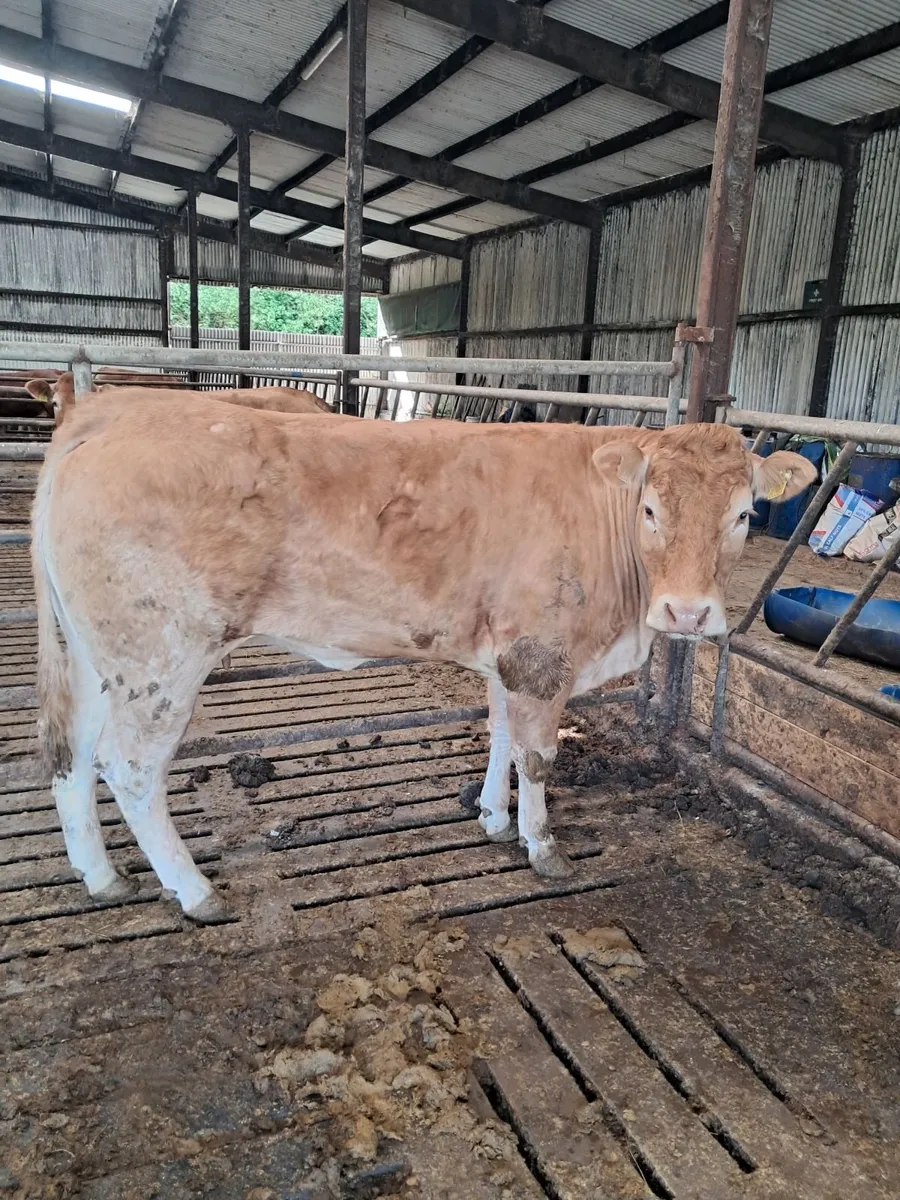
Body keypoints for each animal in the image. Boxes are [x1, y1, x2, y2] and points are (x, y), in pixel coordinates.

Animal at [31, 393, 815, 921]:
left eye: (743, 514)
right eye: (651, 510)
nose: (687, 612)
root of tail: (113, 409)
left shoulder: (508, 652)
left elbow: (498, 733)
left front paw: (492, 817)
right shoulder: (541, 655)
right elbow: (538, 756)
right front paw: (542, 847)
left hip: (99, 657)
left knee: (73, 753)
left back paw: (103, 876)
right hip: (163, 653)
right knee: (130, 768)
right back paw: (195, 891)